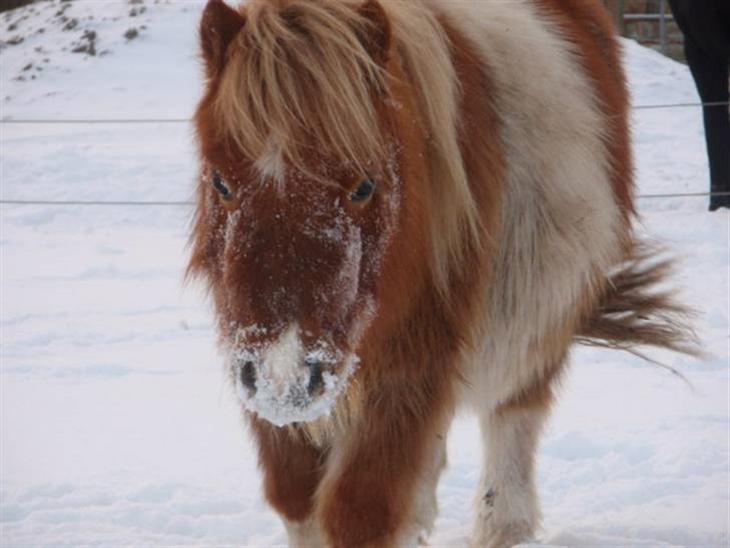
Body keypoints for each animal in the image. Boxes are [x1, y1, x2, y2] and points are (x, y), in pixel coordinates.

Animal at [188, 1, 695, 546]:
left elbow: (361, 511)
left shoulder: (410, 369)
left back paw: (502, 524)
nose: (285, 376)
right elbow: (298, 499)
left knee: (513, 420)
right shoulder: (262, 375)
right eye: (221, 182)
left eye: (364, 186)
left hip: (537, 322)